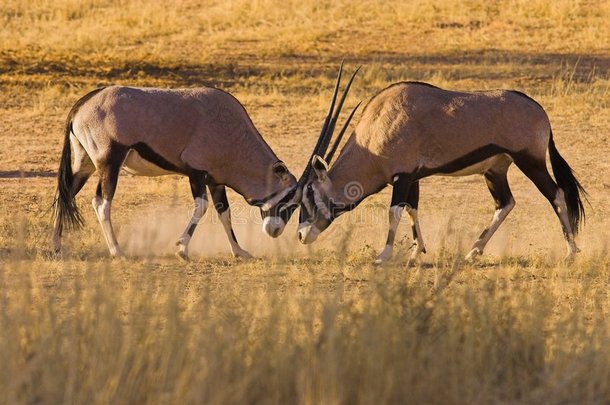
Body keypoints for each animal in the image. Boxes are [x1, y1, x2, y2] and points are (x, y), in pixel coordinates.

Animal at [54, 85, 296, 258]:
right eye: (290, 198)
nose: (275, 231)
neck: (233, 134)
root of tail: (81, 106)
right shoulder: (197, 173)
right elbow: (202, 206)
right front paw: (181, 248)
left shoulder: (215, 181)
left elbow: (224, 213)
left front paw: (239, 252)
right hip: (109, 164)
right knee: (101, 204)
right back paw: (117, 251)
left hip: (84, 165)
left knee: (65, 195)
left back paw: (56, 247)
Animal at [296, 77, 588, 262]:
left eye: (309, 194)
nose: (300, 235)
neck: (373, 136)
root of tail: (540, 110)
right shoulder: (412, 178)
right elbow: (412, 209)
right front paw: (417, 251)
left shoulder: (402, 177)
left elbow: (394, 212)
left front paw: (384, 255)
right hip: (495, 170)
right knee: (505, 203)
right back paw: (473, 251)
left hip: (530, 162)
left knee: (556, 194)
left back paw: (571, 252)